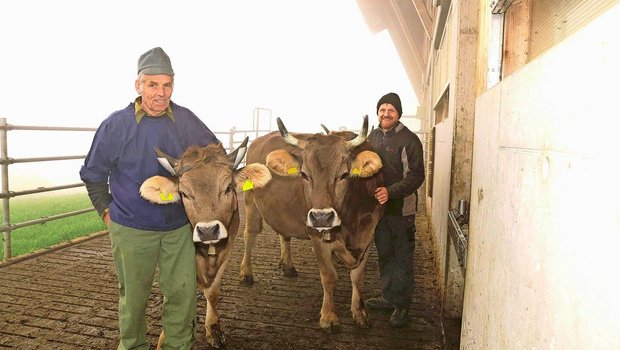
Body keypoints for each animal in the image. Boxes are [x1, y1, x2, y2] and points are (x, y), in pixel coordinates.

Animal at [140, 138, 272, 348]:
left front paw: (213, 329)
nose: (208, 230)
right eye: (184, 194)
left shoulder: (228, 247)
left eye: (228, 188)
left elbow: (213, 292)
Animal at [240, 116, 386, 332]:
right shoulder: (317, 235)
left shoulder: (369, 234)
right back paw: (246, 274)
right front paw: (329, 317)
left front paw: (359, 313)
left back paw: (288, 267)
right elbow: (329, 276)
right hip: (250, 202)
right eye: (303, 174)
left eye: (344, 175)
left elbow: (358, 277)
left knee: (283, 234)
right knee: (249, 234)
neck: (349, 219)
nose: (321, 217)